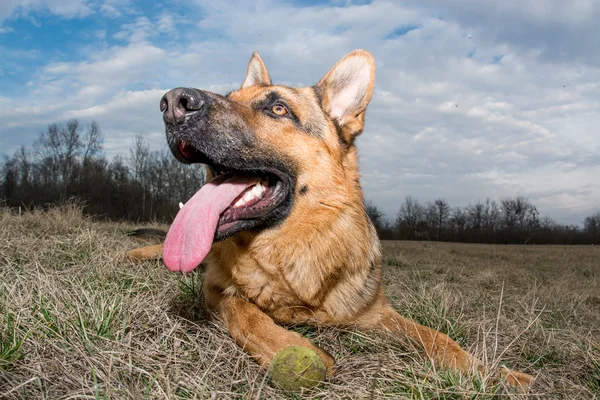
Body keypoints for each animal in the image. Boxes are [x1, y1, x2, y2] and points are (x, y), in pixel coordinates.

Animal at [127, 50, 536, 390]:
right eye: (231, 97)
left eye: (278, 109)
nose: (172, 103)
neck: (291, 252)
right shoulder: (215, 291)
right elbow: (245, 311)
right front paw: (287, 346)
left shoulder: (376, 313)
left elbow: (438, 338)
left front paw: (495, 374)